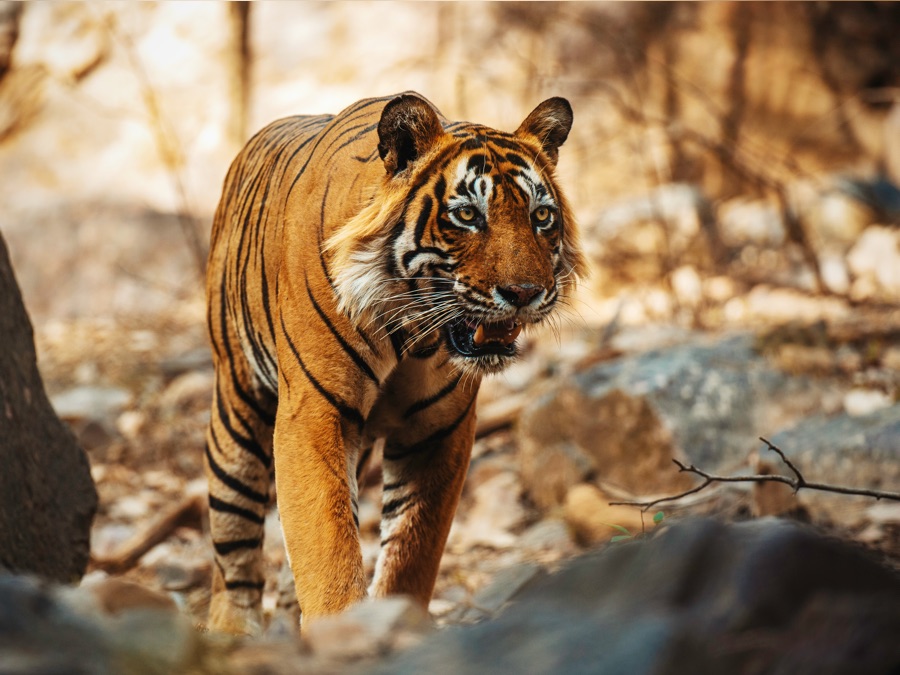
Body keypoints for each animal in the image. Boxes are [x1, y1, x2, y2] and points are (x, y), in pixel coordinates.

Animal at [204, 92, 584, 636]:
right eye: (467, 215)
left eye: (542, 215)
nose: (525, 293)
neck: (413, 331)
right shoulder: (314, 413)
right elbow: (326, 545)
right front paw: (342, 633)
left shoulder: (439, 429)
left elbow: (411, 552)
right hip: (236, 411)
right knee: (233, 544)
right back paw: (232, 631)